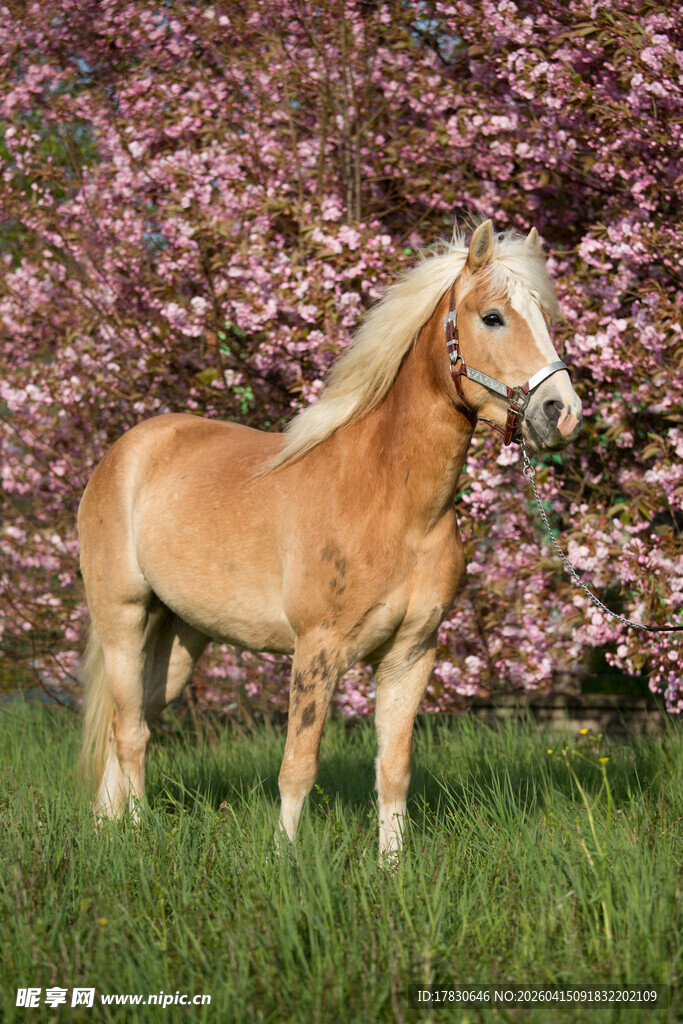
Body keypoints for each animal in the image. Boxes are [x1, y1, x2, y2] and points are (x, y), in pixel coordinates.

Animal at [79, 219, 583, 856]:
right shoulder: (316, 650)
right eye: (493, 317)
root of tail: (125, 452)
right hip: (122, 619)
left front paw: (392, 867)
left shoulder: (410, 656)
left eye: (546, 317)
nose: (562, 412)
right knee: (131, 733)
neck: (388, 503)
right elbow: (298, 766)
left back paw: (106, 829)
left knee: (130, 723)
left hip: (178, 638)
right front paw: (285, 861)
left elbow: (394, 769)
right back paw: (139, 835)